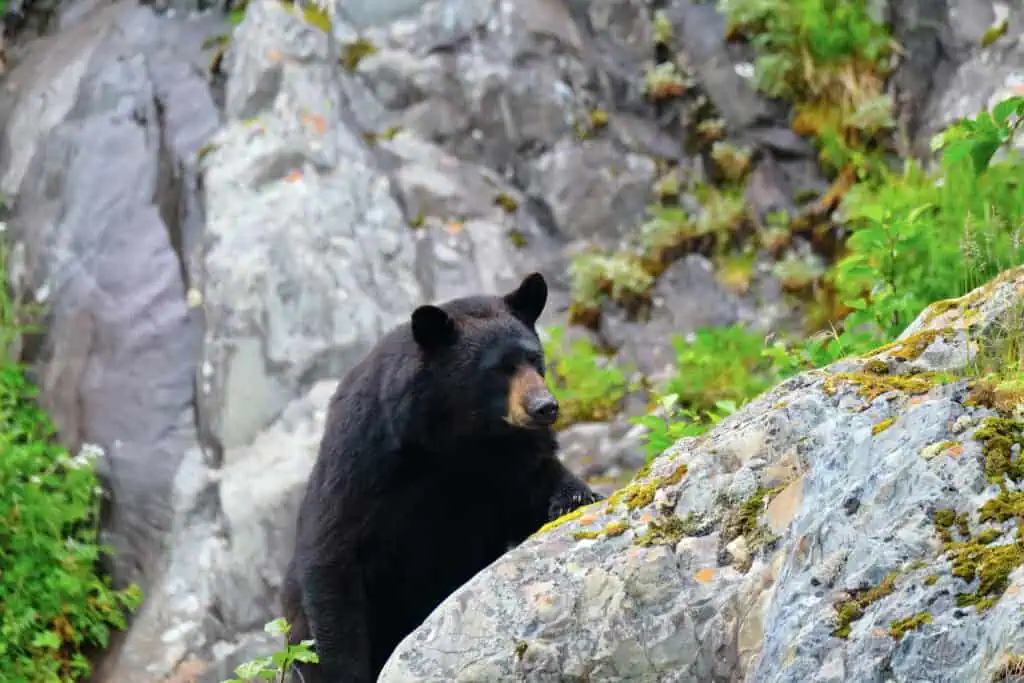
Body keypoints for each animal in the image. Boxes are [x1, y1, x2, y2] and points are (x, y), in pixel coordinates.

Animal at [279, 272, 603, 683]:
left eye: (534, 358)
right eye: (498, 368)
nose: (545, 407)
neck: (455, 440)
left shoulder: (507, 460)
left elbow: (538, 481)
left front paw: (576, 498)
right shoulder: (363, 460)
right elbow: (332, 555)